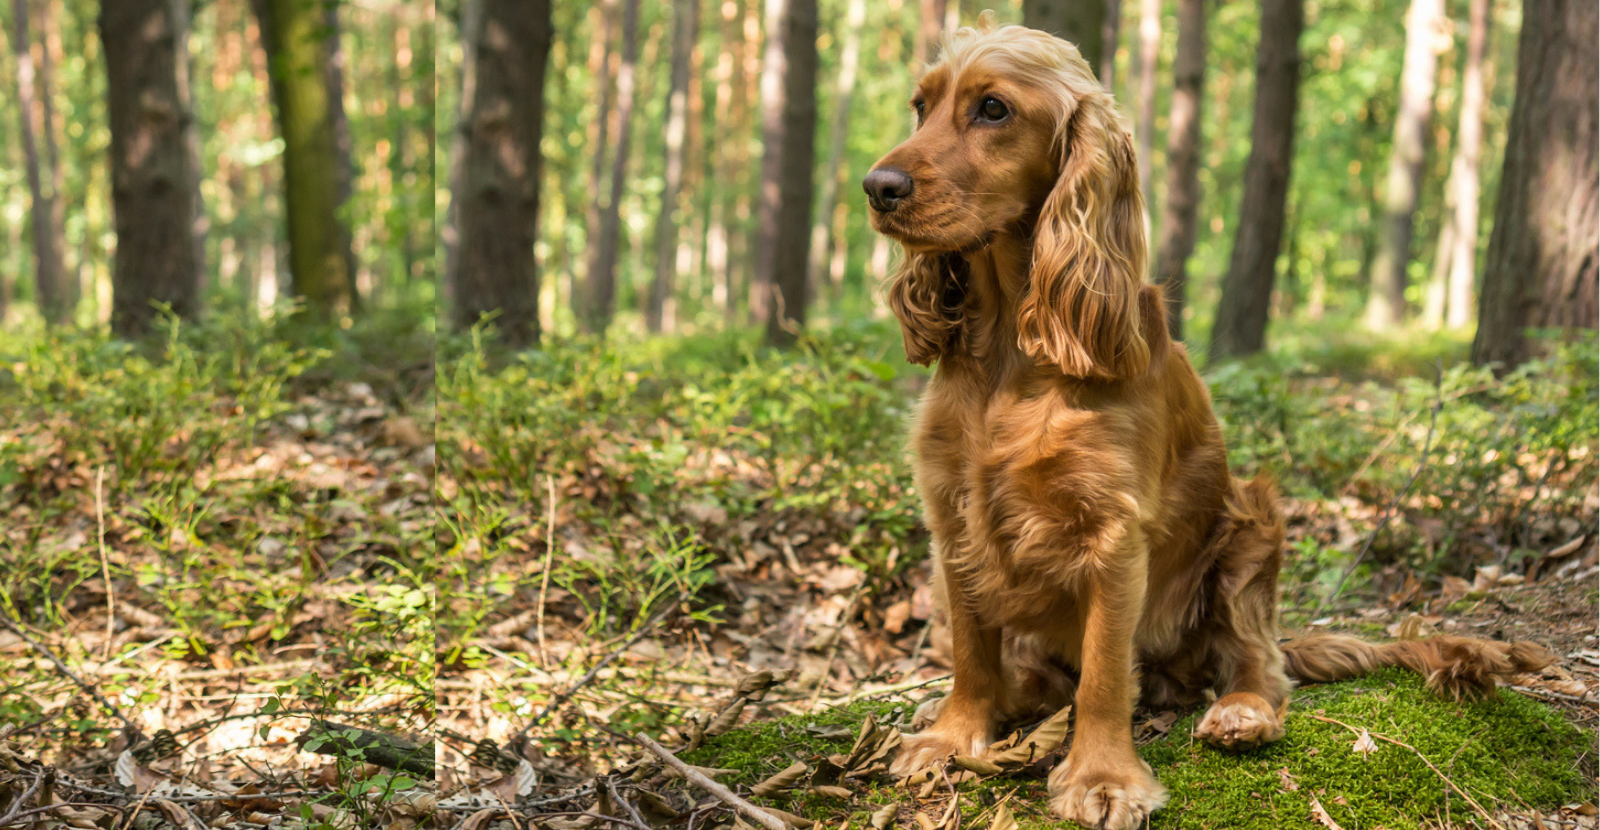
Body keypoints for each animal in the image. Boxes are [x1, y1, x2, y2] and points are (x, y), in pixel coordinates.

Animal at [864, 14, 1548, 830]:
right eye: (920, 106)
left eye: (993, 109)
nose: (877, 188)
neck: (1011, 348)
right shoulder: (952, 513)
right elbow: (969, 647)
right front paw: (952, 736)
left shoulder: (1114, 530)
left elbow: (1104, 671)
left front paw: (1103, 777)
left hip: (1252, 524)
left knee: (1260, 664)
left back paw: (1240, 712)